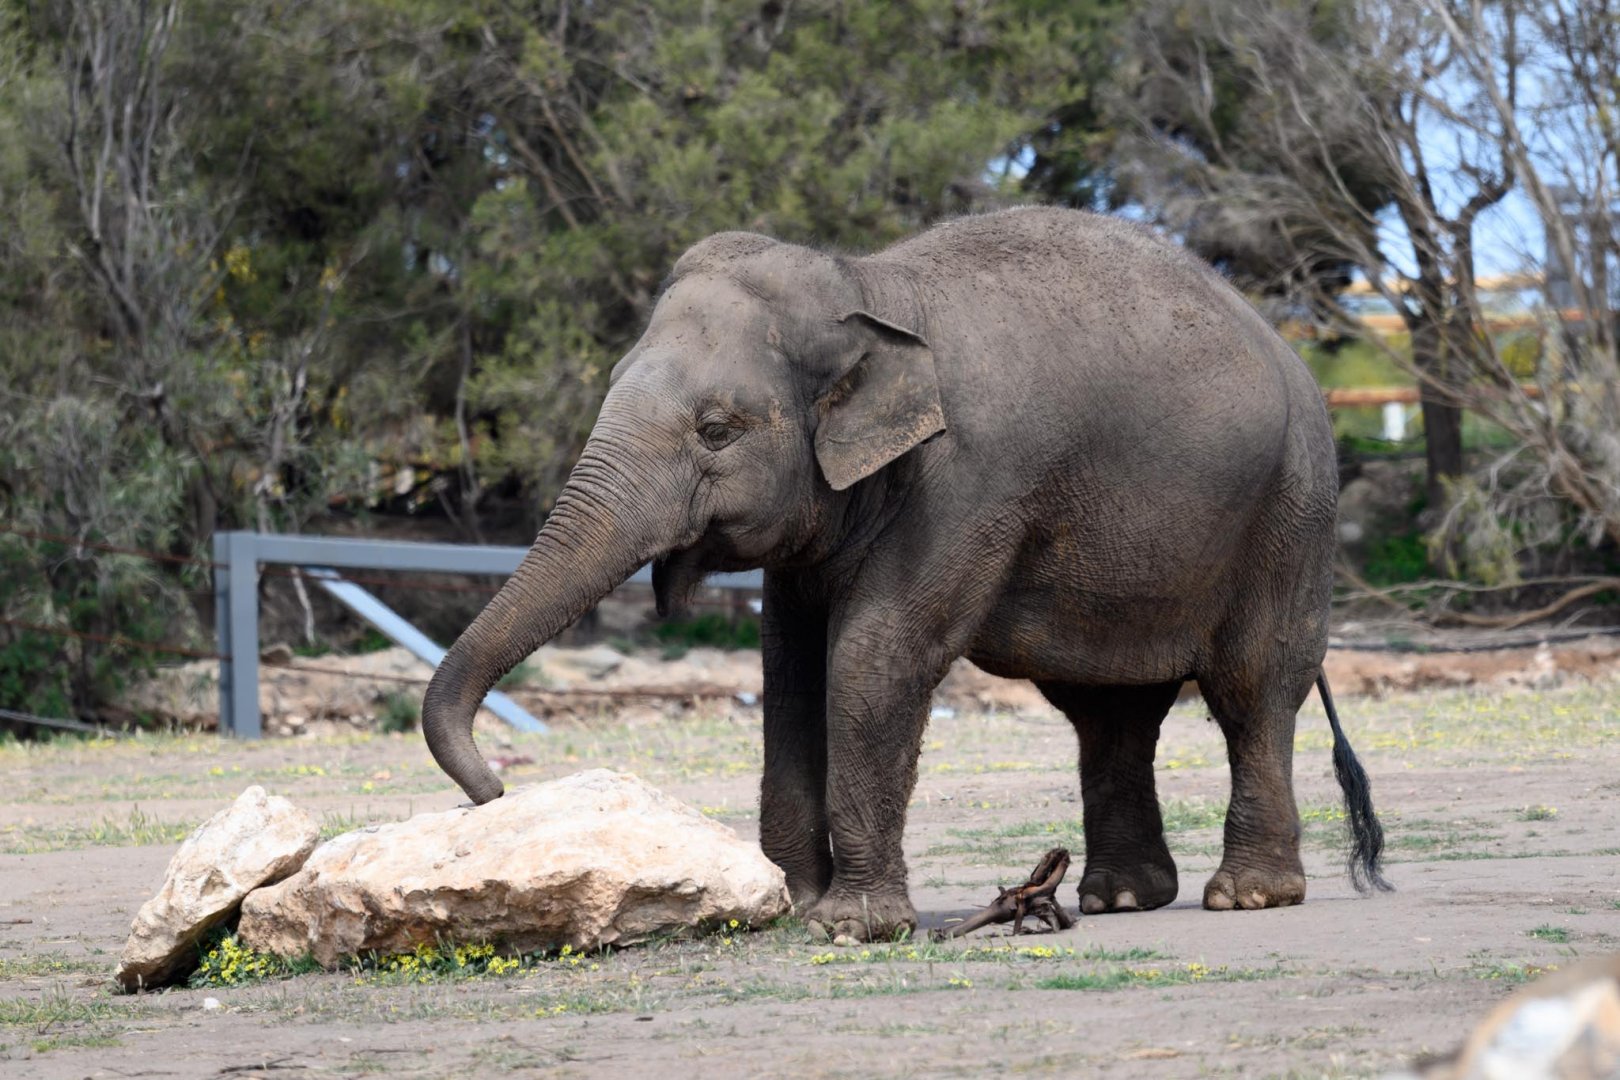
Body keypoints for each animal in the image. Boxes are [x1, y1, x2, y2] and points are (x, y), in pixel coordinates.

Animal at [420, 206, 1389, 942]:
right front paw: (794, 904)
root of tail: (1290, 351)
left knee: (1253, 689)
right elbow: (790, 669)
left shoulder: (970, 482)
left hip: (1293, 508)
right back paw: (1118, 899)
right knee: (1108, 712)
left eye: (717, 430)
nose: (494, 789)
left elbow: (873, 657)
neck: (867, 290)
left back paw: (1247, 896)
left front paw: (849, 927)